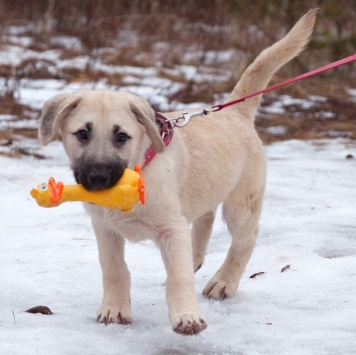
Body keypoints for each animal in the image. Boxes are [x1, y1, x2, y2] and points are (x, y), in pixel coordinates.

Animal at [38, 9, 318, 336]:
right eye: (82, 134)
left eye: (121, 137)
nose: (98, 179)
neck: (138, 173)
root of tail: (234, 112)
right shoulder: (105, 229)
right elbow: (114, 268)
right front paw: (114, 309)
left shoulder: (171, 229)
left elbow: (178, 277)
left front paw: (186, 316)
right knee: (204, 220)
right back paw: (197, 258)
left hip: (241, 205)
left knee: (245, 239)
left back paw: (224, 281)